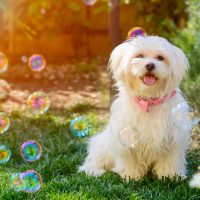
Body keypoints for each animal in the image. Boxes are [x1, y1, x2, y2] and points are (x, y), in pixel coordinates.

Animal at [79, 30, 191, 180]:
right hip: (101, 144)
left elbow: (170, 159)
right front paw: (131, 175)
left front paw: (171, 176)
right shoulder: (126, 136)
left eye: (160, 58)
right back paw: (93, 170)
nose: (150, 65)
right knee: (93, 160)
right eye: (139, 56)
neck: (148, 99)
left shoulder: (173, 137)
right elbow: (130, 159)